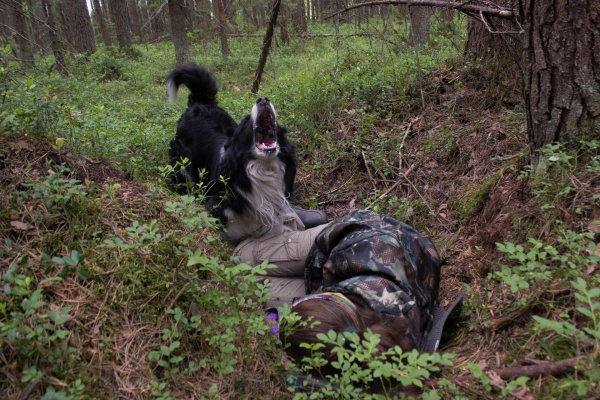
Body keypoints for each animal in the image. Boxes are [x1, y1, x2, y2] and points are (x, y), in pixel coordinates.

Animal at [166, 64, 300, 242]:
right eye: (247, 121)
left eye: (277, 125)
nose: (263, 99)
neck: (263, 168)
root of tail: (200, 103)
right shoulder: (216, 208)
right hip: (180, 164)